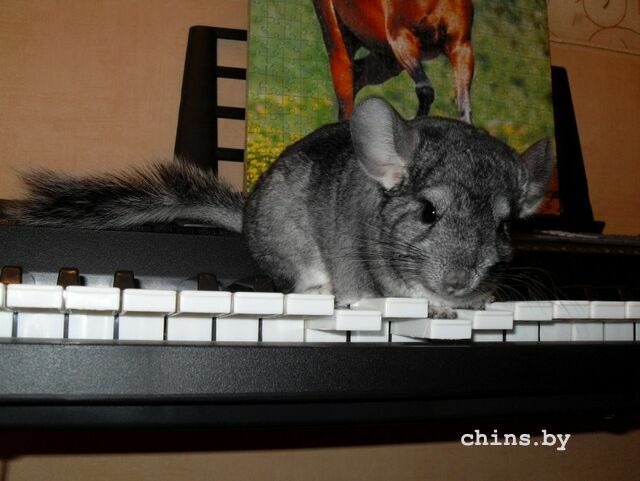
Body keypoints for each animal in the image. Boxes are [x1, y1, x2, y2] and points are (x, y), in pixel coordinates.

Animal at [3, 97, 553, 311]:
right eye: (428, 212)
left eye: (504, 227)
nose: (459, 283)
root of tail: (246, 218)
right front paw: (424, 305)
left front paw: (468, 304)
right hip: (293, 249)